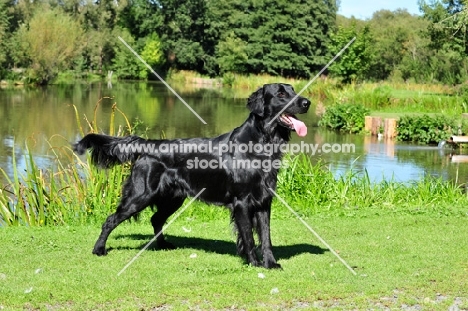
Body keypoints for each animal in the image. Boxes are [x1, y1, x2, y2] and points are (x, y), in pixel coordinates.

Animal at [73, 84, 308, 270]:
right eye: (280, 93)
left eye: (293, 90)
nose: (307, 102)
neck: (260, 143)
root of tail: (148, 144)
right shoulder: (241, 202)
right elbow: (249, 237)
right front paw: (254, 263)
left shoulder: (263, 201)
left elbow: (266, 237)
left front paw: (271, 263)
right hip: (140, 196)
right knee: (110, 220)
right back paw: (99, 249)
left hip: (173, 198)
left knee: (155, 218)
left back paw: (163, 245)